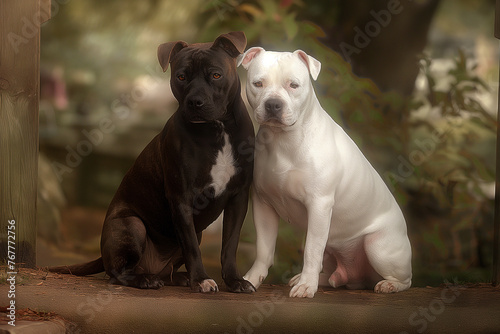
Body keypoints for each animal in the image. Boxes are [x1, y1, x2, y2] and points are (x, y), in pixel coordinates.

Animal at [50, 31, 256, 292]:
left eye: (216, 75)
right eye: (181, 76)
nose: (195, 102)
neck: (218, 130)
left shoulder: (238, 197)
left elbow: (229, 245)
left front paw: (234, 280)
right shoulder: (182, 198)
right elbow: (192, 248)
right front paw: (201, 279)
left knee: (168, 270)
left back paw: (179, 278)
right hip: (132, 225)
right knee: (116, 273)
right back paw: (146, 279)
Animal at [238, 47, 410, 298]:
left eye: (294, 85)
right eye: (258, 83)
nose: (273, 104)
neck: (283, 141)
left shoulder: (319, 205)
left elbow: (311, 249)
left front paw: (306, 287)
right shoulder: (263, 204)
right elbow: (264, 249)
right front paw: (251, 279)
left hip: (377, 246)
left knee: (405, 279)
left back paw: (389, 285)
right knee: (332, 272)